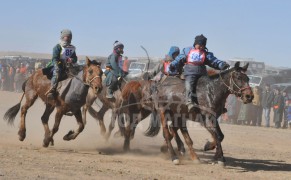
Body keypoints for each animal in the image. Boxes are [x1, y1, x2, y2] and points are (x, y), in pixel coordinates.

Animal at [117, 61, 254, 165]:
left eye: (247, 78)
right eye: (238, 77)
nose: (249, 96)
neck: (211, 90)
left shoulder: (211, 118)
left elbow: (219, 135)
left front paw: (212, 151)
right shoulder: (206, 119)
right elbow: (216, 135)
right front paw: (218, 156)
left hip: (146, 112)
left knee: (132, 126)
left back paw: (126, 147)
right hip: (157, 111)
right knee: (164, 133)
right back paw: (174, 157)